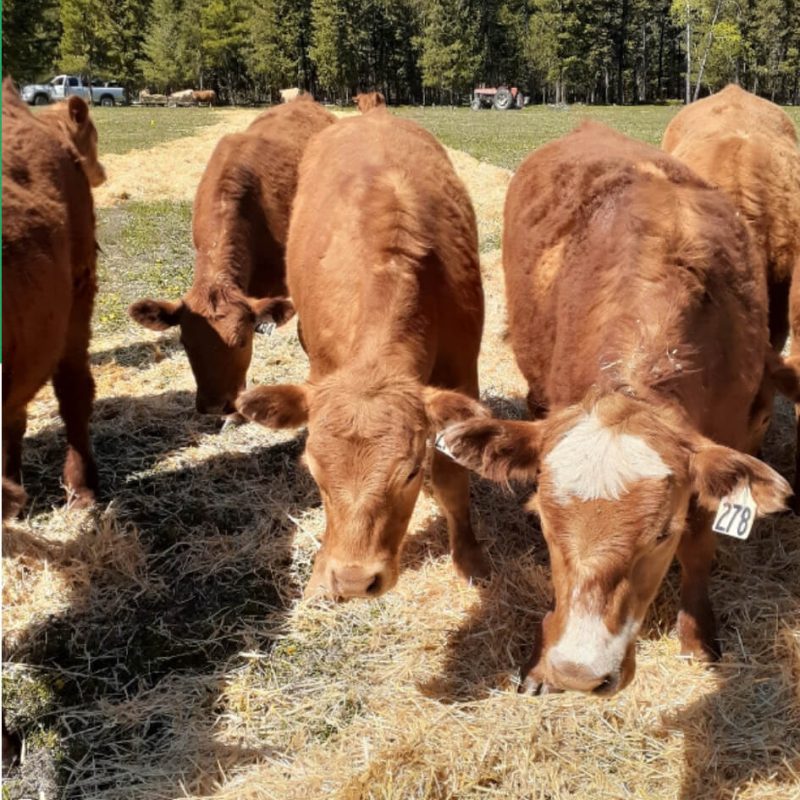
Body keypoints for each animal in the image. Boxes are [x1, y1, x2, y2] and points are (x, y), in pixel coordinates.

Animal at [235, 111, 491, 600]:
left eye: (410, 473)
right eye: (314, 472)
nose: (354, 580)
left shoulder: (462, 376)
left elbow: (453, 476)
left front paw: (470, 559)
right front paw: (320, 573)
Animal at [439, 122, 792, 696]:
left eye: (662, 534)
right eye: (543, 521)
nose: (578, 672)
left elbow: (699, 550)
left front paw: (696, 634)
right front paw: (540, 663)